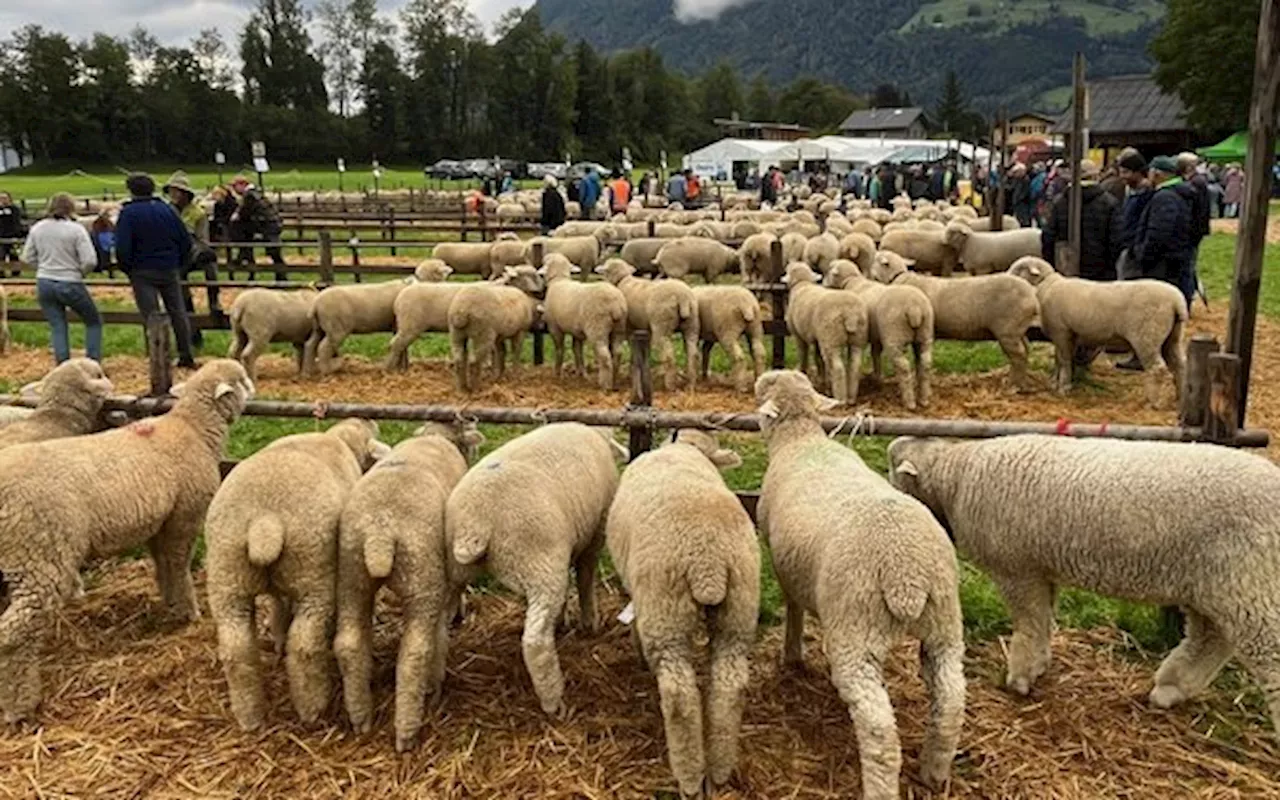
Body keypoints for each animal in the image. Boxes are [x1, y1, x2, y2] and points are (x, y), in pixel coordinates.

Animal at [448, 422, 627, 716]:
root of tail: (476, 523)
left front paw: (563, 619)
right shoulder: (594, 536)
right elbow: (585, 578)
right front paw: (589, 622)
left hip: (453, 568)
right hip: (539, 562)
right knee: (536, 642)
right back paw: (554, 702)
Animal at [604, 432, 752, 793]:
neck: (685, 449)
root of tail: (708, 563)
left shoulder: (641, 595)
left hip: (665, 612)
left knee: (679, 697)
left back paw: (689, 779)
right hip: (738, 611)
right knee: (730, 684)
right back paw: (719, 772)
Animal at [757, 373, 962, 798]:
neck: (801, 440)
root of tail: (906, 575)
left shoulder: (782, 563)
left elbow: (792, 607)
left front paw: (791, 654)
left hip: (858, 628)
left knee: (878, 729)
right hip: (944, 624)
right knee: (951, 700)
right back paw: (934, 771)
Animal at [890, 432, 1280, 732]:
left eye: (892, 472)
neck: (956, 479)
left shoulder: (1018, 570)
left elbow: (1029, 625)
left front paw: (1020, 680)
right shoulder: (1041, 570)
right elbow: (1043, 623)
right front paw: (1039, 666)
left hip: (1249, 580)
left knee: (1265, 651)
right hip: (1217, 586)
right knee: (1209, 639)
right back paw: (1170, 689)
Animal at [1013, 256, 1182, 404]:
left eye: (1019, 269)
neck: (1047, 286)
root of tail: (1176, 301)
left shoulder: (1061, 331)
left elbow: (1064, 360)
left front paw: (1063, 388)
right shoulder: (1067, 335)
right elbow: (1059, 359)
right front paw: (1056, 382)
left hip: (1147, 337)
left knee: (1157, 368)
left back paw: (1153, 401)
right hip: (1171, 337)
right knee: (1179, 365)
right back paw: (1179, 398)